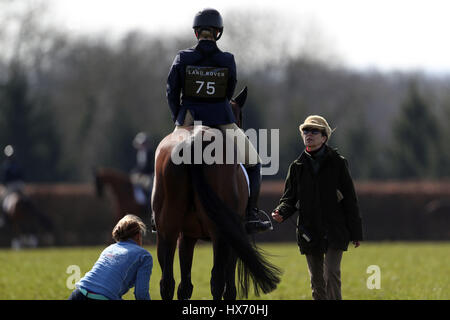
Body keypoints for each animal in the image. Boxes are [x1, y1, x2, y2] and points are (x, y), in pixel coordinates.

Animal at [153, 86, 284, 298]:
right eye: (240, 116)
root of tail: (193, 142)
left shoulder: (186, 236)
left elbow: (185, 286)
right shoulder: (232, 237)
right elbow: (228, 286)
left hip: (167, 230)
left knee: (167, 282)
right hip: (220, 234)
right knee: (217, 280)